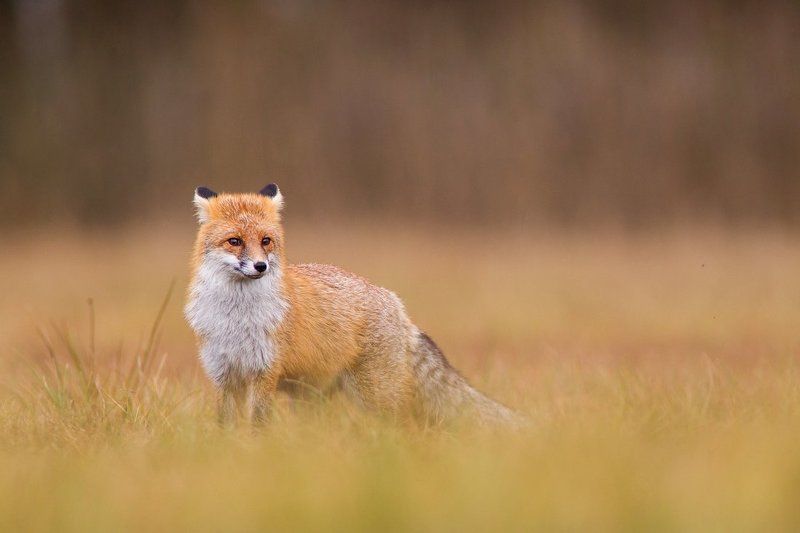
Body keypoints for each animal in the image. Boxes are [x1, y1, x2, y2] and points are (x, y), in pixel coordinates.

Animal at [185, 184, 518, 427]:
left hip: (376, 396)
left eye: (266, 241)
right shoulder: (224, 375)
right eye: (235, 241)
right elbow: (226, 427)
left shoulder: (263, 374)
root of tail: (396, 303)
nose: (260, 266)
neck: (235, 319)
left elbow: (257, 427)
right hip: (313, 398)